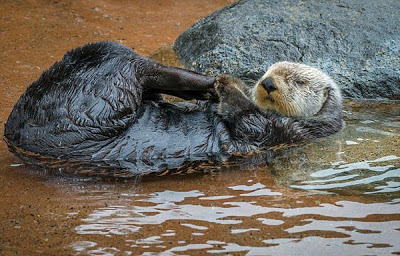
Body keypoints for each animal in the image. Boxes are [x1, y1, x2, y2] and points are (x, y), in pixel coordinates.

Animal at [3, 42, 342, 176]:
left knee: (137, 67)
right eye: (268, 70)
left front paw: (228, 86)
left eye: (297, 81)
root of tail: (14, 134)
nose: (267, 82)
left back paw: (207, 82)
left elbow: (246, 118)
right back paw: (205, 85)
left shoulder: (284, 132)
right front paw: (229, 86)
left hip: (96, 95)